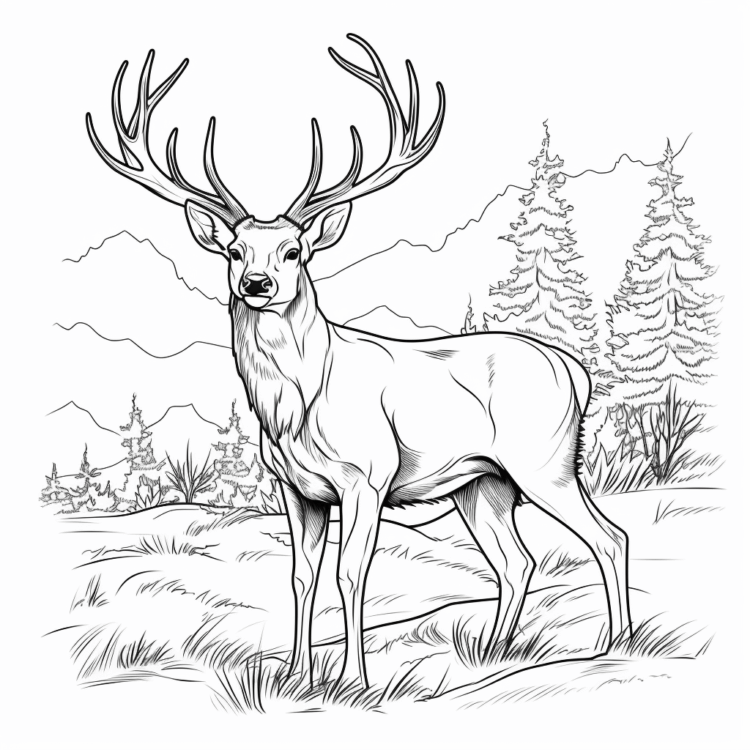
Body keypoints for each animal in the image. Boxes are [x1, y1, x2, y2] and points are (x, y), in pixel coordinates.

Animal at [86, 35, 632, 690]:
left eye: (294, 250)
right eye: (234, 250)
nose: (257, 283)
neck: (297, 408)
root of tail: (576, 371)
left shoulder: (368, 476)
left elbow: (351, 573)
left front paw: (354, 679)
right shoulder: (298, 489)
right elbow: (302, 575)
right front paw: (295, 674)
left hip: (543, 461)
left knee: (610, 537)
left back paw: (614, 642)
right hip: (483, 483)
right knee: (517, 561)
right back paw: (496, 651)